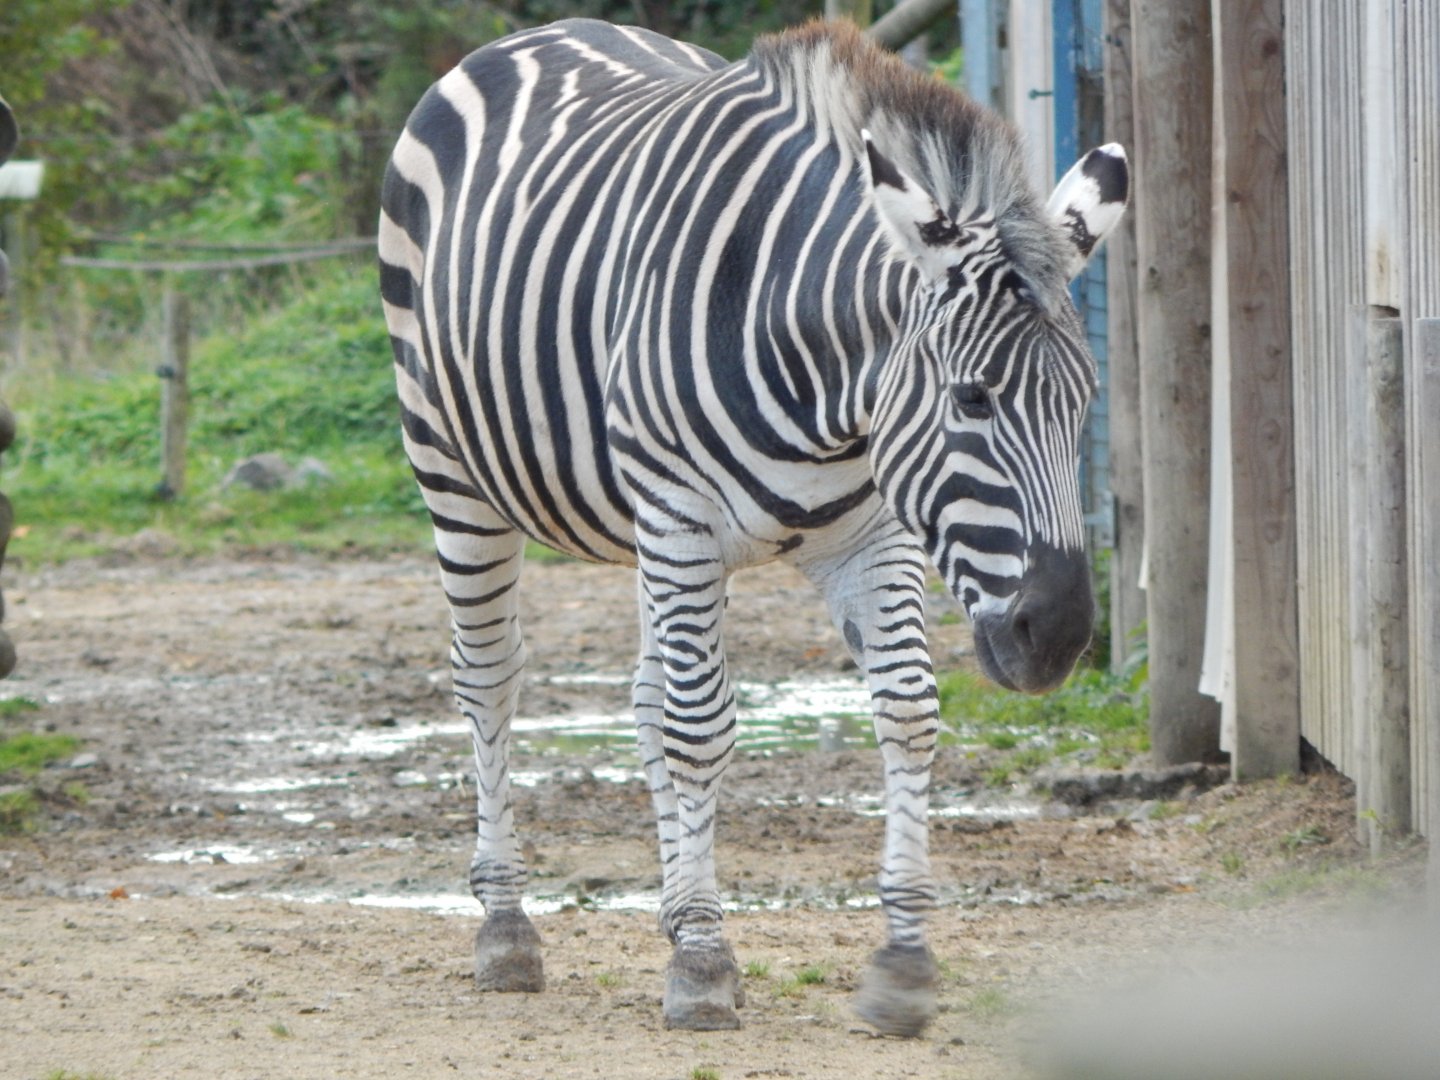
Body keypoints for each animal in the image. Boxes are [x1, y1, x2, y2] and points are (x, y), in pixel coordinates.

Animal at [378, 18, 1127, 1036]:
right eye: (972, 399)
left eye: (1084, 400)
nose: (1057, 635)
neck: (826, 378)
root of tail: (541, 32)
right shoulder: (682, 520)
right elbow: (699, 726)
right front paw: (702, 963)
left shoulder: (872, 536)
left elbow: (906, 708)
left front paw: (901, 961)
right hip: (454, 470)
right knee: (490, 679)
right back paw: (506, 929)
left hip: (639, 529)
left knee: (644, 695)